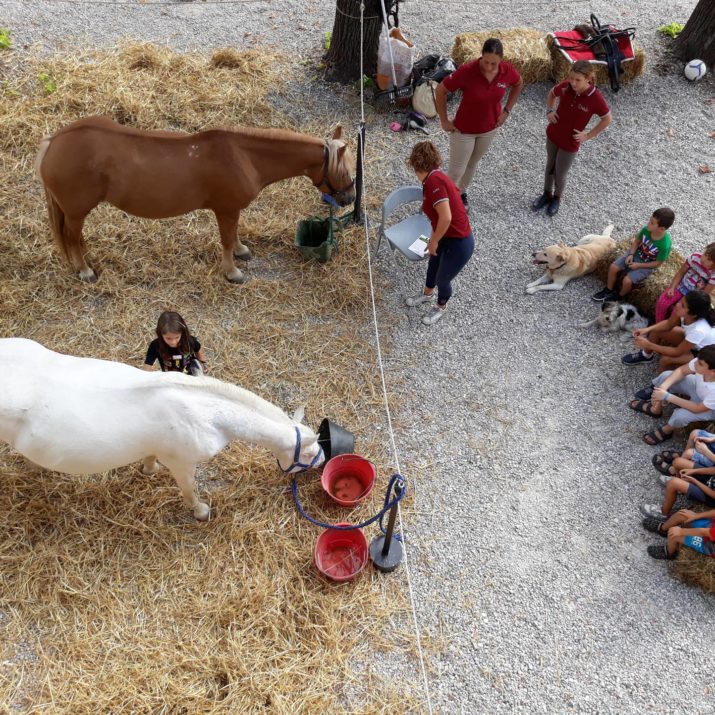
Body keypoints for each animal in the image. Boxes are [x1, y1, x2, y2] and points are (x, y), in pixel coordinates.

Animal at [0, 338, 324, 516]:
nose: (321, 463)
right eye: (308, 454)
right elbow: (189, 488)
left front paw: (148, 469)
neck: (205, 410)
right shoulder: (181, 462)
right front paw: (200, 511)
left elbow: (150, 457)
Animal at [35, 117, 356, 282]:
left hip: (75, 211)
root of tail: (54, 141)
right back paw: (84, 270)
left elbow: (234, 235)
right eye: (346, 171)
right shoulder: (225, 209)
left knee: (75, 237)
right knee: (71, 237)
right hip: (76, 210)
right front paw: (232, 272)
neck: (244, 156)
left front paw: (241, 251)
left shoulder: (230, 210)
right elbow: (225, 239)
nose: (350, 199)